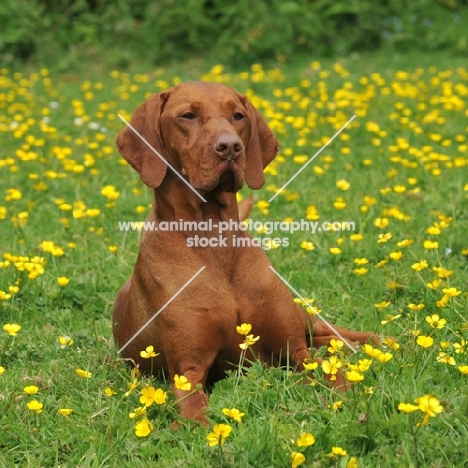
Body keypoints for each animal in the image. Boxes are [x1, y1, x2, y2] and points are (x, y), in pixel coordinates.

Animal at [112, 81, 376, 424]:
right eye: (187, 116)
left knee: (329, 332)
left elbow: (337, 377)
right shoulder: (188, 372)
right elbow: (195, 417)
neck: (215, 240)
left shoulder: (296, 351)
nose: (230, 147)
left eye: (238, 116)